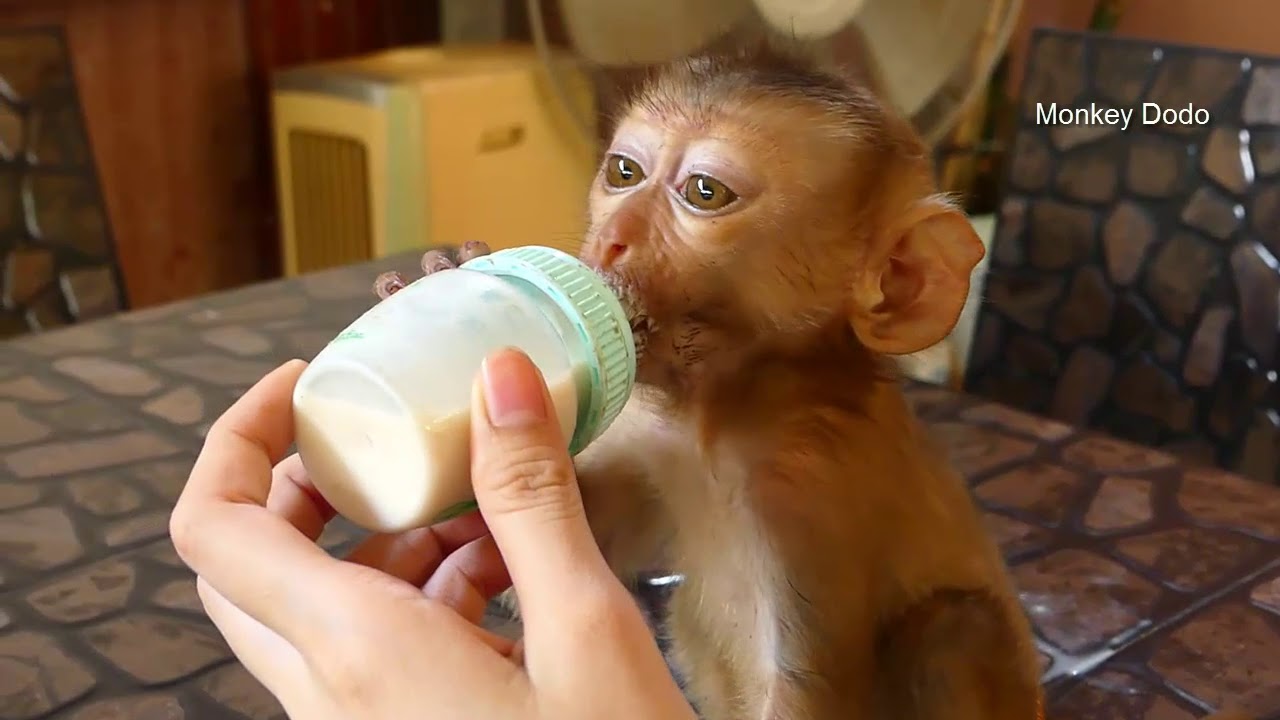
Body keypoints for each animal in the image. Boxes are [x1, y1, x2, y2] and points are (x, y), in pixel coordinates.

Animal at [370, 43, 1249, 720]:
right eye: (623, 172)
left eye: (704, 193)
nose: (610, 240)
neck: (723, 421)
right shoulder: (654, 441)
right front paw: (445, 279)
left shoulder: (810, 495)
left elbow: (802, 687)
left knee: (953, 631)